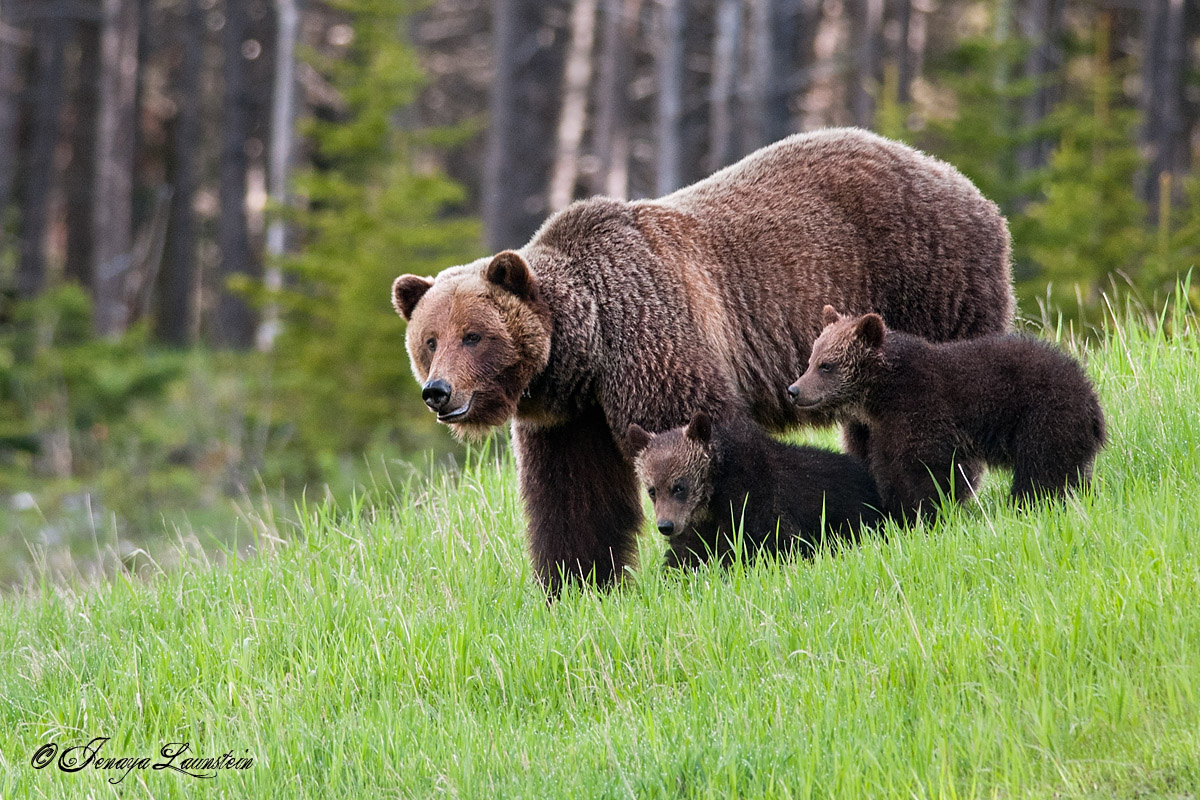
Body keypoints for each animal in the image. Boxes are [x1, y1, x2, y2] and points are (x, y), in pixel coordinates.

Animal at [628, 412, 886, 569]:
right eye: (652, 490)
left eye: (679, 486)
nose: (665, 525)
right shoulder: (696, 524)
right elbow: (685, 556)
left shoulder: (757, 503)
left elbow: (771, 544)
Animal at [788, 305, 1107, 521]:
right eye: (811, 360)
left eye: (826, 365)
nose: (794, 390)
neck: (884, 393)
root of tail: (1091, 396)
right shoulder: (886, 429)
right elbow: (889, 471)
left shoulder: (926, 411)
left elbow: (932, 472)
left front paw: (930, 513)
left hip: (1044, 418)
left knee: (1041, 473)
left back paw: (1028, 504)